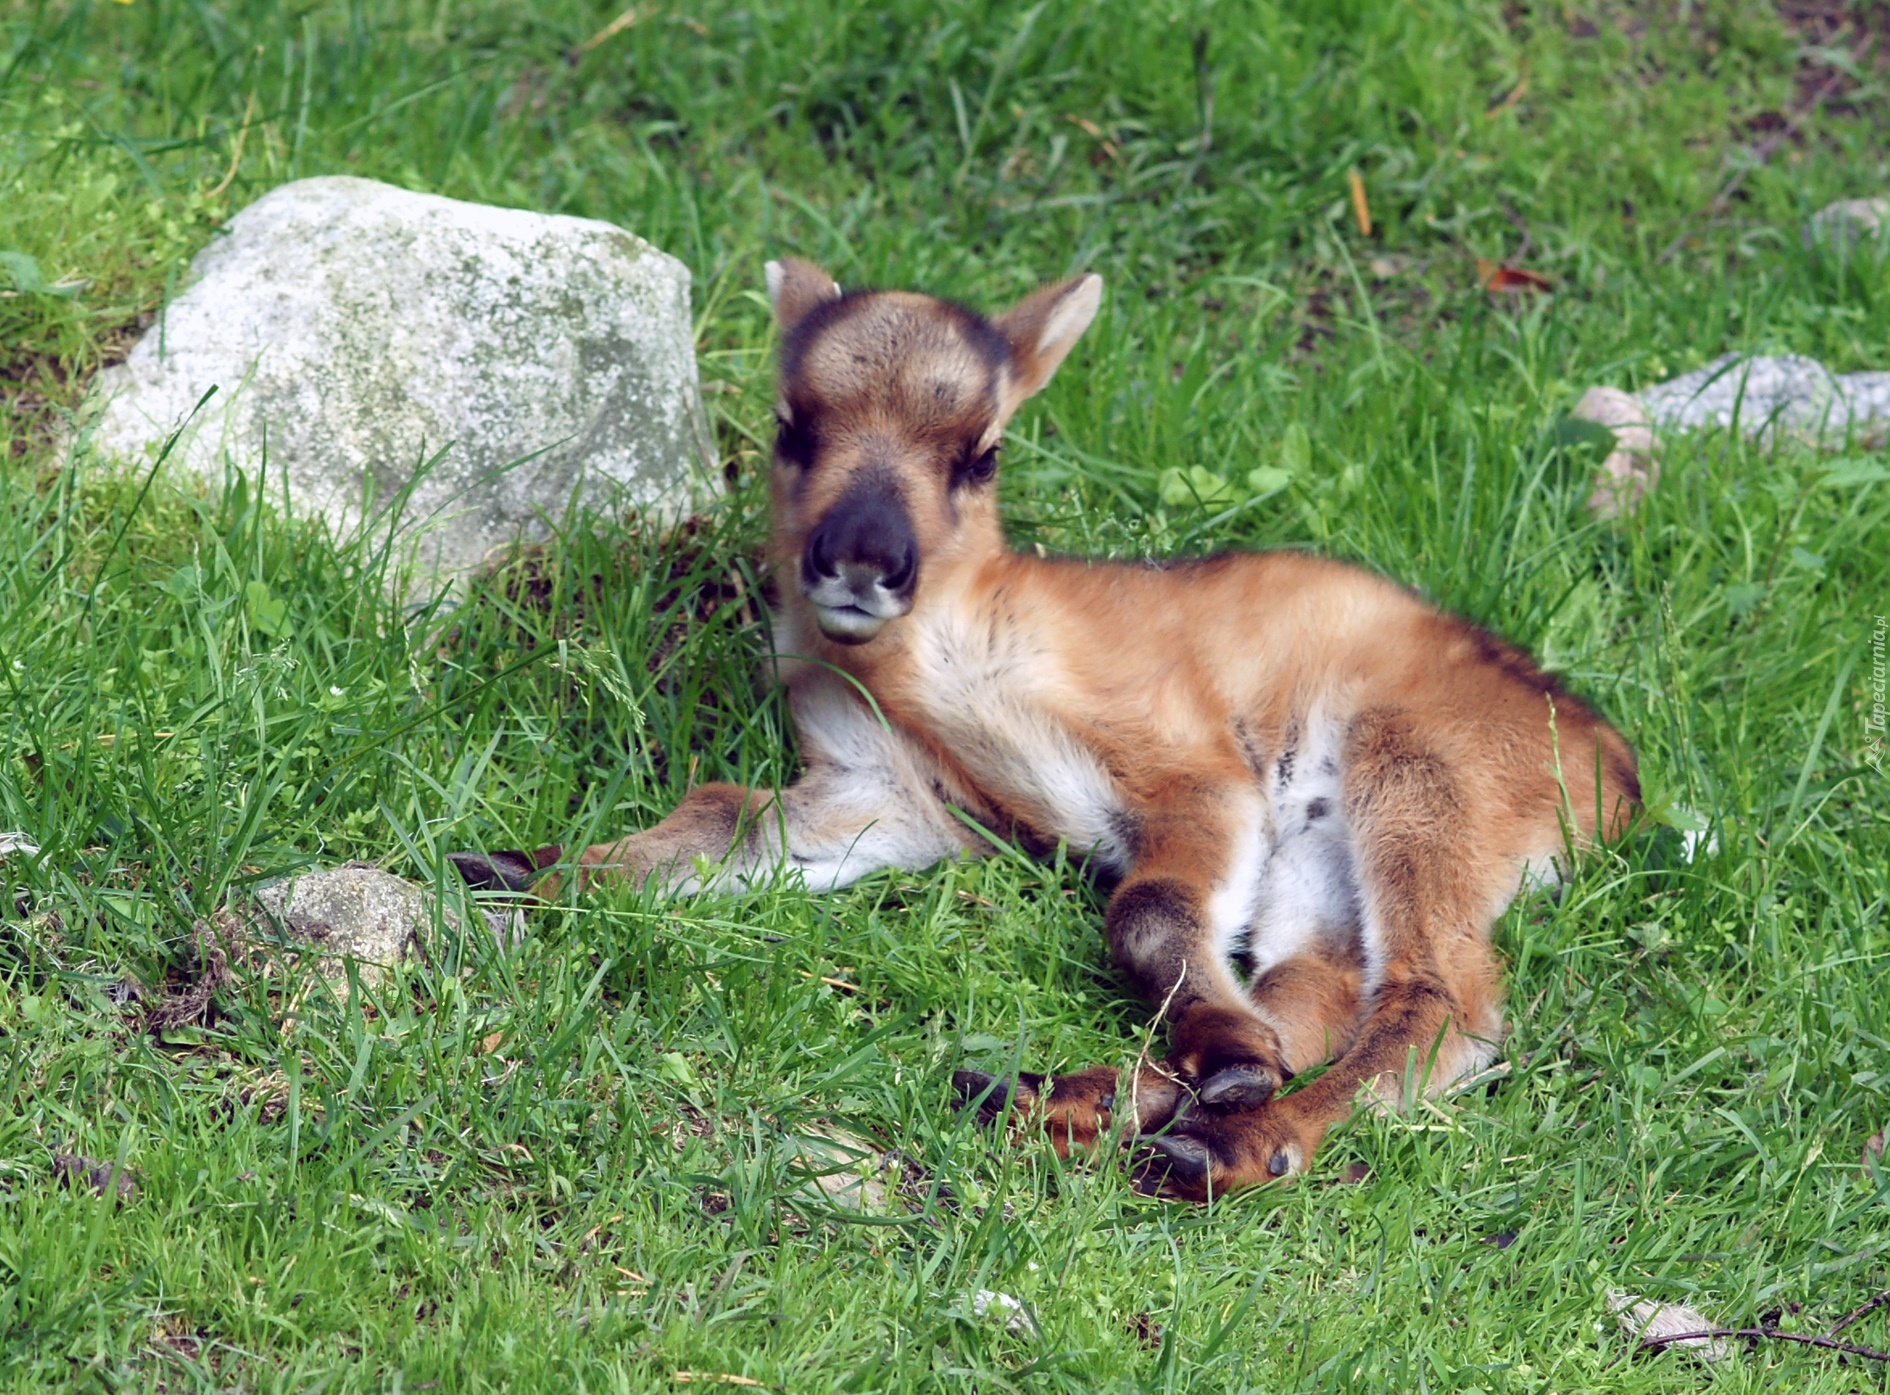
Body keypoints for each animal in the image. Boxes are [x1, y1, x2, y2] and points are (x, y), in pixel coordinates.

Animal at [453, 260, 1640, 1194]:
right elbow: (720, 817)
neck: (951, 664)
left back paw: (1224, 1139)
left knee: (1440, 1003)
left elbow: (1146, 906)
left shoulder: (1194, 770)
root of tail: (1614, 778)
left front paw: (1221, 1054)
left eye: (980, 450)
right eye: (794, 424)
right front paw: (514, 864)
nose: (861, 560)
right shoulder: (887, 791)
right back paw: (1056, 1097)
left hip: (1417, 782)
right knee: (1311, 1000)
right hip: (1320, 872)